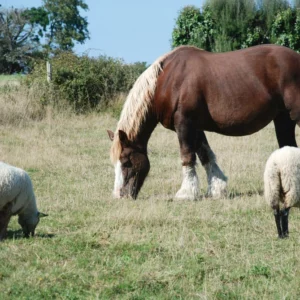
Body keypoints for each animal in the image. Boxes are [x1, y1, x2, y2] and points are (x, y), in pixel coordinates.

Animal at [108, 44, 300, 199]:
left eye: (126, 162)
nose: (119, 195)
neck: (167, 81)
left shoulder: (184, 124)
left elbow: (187, 156)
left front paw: (186, 193)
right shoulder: (195, 127)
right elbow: (205, 154)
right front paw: (216, 189)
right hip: (283, 119)